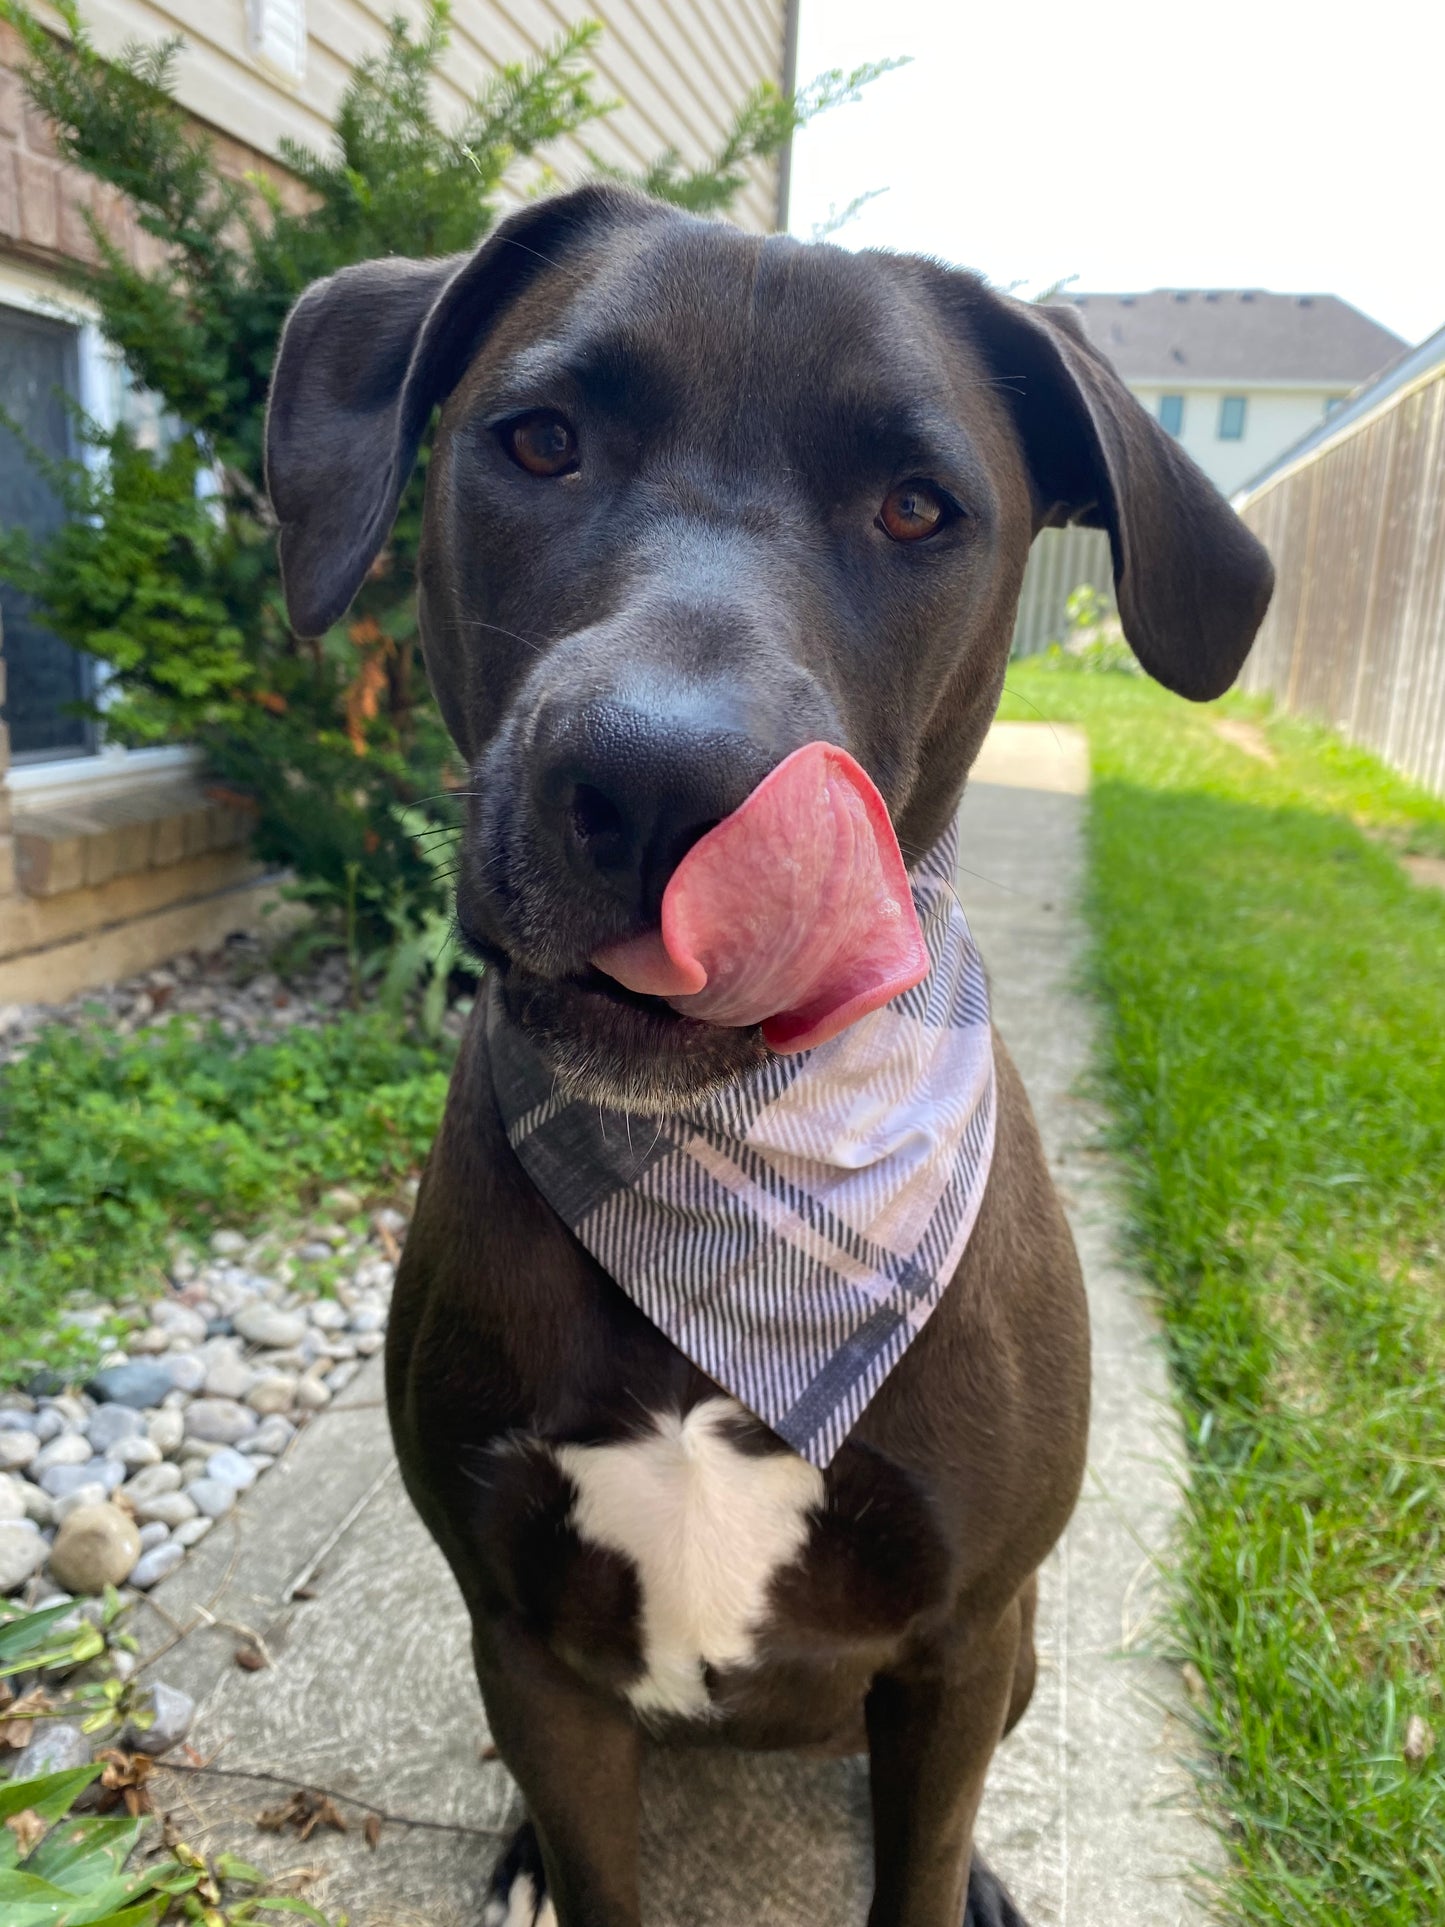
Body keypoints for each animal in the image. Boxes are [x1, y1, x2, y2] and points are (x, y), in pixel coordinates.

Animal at [269, 184, 1263, 1927]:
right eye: (539, 440)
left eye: (920, 507)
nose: (662, 786)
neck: (728, 1170)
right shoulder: (520, 1631)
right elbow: (596, 1856)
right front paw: (551, 1860)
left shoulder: (959, 1636)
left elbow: (917, 1856)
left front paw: (952, 1872)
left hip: (1010, 1657)